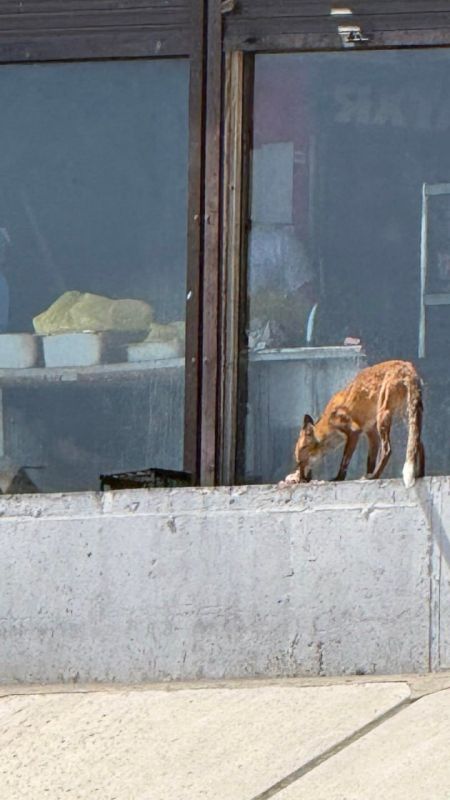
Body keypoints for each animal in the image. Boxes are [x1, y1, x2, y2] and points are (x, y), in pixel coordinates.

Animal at [283, 360, 425, 488]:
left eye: (300, 462)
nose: (301, 480)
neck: (329, 424)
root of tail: (406, 365)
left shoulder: (353, 431)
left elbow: (344, 461)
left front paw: (339, 479)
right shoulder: (371, 432)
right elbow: (370, 462)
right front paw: (366, 475)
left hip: (383, 416)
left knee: (387, 450)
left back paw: (375, 476)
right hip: (407, 417)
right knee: (417, 443)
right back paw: (420, 474)